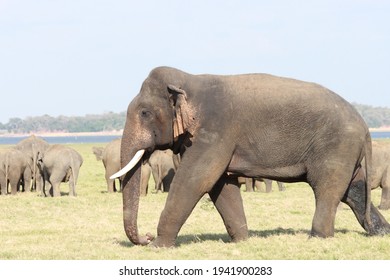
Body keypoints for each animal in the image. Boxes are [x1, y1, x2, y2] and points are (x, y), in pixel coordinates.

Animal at [109, 66, 390, 247]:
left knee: (328, 189)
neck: (190, 80)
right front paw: (242, 241)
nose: (145, 237)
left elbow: (196, 178)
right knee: (354, 191)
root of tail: (365, 127)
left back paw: (317, 238)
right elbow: (221, 184)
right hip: (347, 151)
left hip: (336, 146)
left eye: (144, 113)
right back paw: (382, 233)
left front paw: (159, 246)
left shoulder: (218, 130)